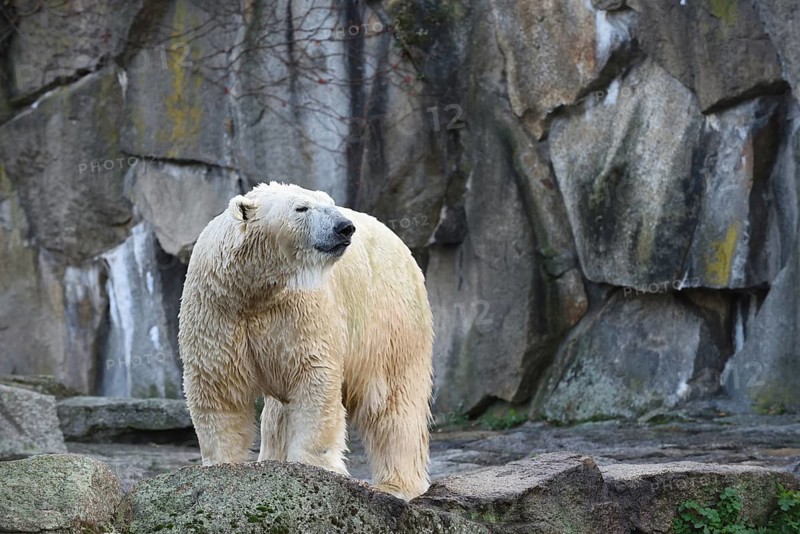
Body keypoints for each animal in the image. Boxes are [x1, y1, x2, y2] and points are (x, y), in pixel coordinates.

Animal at [178, 182, 433, 500]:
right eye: (301, 208)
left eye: (329, 203)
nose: (344, 227)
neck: (253, 290)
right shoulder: (217, 310)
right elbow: (217, 385)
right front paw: (221, 467)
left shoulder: (301, 309)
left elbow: (312, 376)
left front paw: (314, 468)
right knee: (277, 413)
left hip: (388, 317)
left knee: (392, 400)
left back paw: (396, 486)